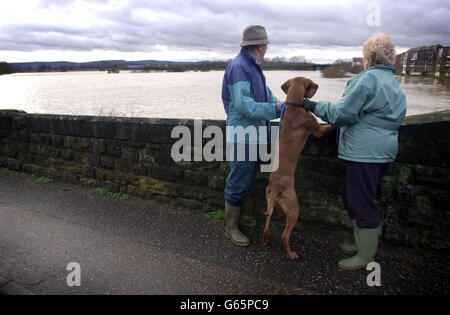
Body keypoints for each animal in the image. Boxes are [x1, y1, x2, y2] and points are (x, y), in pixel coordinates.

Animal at [260, 76, 334, 260]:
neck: (293, 105)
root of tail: (275, 189)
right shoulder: (317, 129)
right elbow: (329, 125)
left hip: (268, 198)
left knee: (267, 224)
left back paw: (265, 241)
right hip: (294, 208)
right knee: (284, 235)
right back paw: (291, 254)